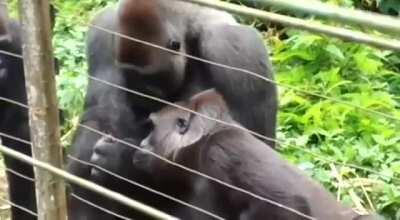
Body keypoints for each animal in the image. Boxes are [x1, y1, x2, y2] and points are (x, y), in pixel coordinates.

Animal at [67, 0, 276, 218]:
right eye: (129, 78)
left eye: (148, 82)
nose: (141, 101)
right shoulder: (103, 28)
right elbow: (98, 115)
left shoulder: (235, 50)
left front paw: (122, 164)